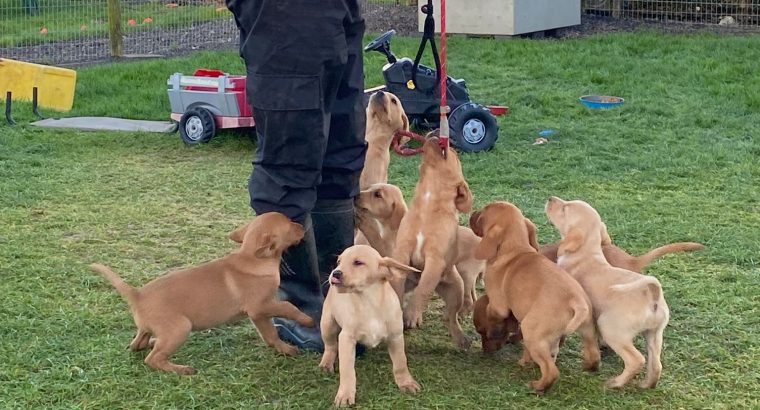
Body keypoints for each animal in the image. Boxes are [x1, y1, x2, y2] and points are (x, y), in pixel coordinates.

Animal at [91, 213, 312, 376]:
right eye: (290, 225)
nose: (303, 226)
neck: (251, 258)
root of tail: (137, 295)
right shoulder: (261, 307)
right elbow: (288, 307)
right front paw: (307, 320)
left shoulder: (258, 315)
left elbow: (270, 335)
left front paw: (283, 349)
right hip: (180, 328)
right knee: (153, 359)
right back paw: (181, 369)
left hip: (150, 330)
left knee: (138, 344)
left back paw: (150, 343)